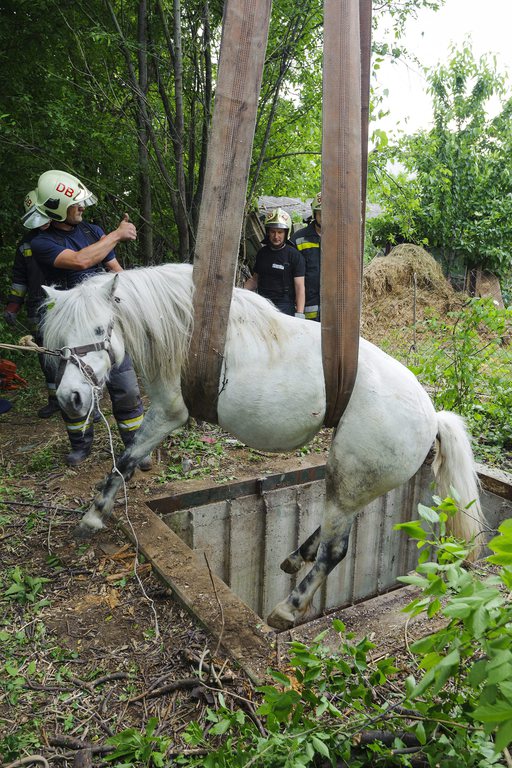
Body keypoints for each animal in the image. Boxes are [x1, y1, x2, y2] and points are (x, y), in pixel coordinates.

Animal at [43, 264, 484, 632]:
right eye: (61, 340)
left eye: (100, 330)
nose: (70, 399)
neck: (186, 330)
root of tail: (432, 417)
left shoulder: (168, 412)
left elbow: (126, 460)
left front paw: (94, 516)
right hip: (354, 480)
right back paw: (297, 555)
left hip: (349, 479)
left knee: (335, 550)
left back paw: (289, 607)